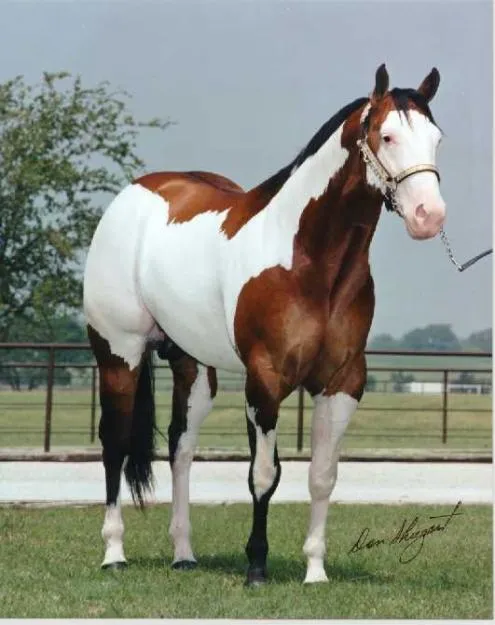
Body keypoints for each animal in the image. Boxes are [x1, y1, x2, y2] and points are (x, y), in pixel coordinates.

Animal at [83, 66, 448, 588]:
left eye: (436, 138)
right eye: (387, 135)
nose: (428, 216)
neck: (307, 259)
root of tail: (133, 196)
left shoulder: (342, 383)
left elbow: (322, 476)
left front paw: (315, 569)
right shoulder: (266, 381)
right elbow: (262, 475)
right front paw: (256, 565)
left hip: (194, 368)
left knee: (181, 448)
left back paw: (183, 554)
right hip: (119, 353)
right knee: (115, 443)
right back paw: (114, 552)